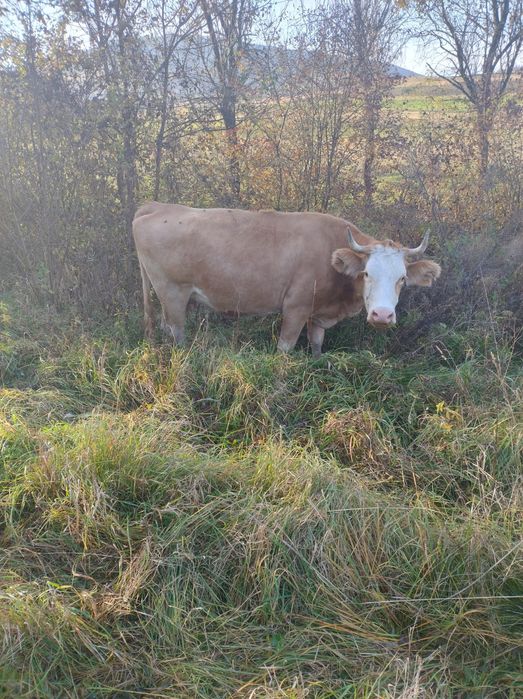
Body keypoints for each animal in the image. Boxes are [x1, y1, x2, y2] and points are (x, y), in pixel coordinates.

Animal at [133, 202, 441, 357]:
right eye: (367, 273)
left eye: (402, 278)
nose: (382, 315)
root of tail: (156, 206)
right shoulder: (295, 308)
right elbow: (285, 349)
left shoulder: (317, 314)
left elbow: (316, 344)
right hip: (172, 293)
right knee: (176, 333)